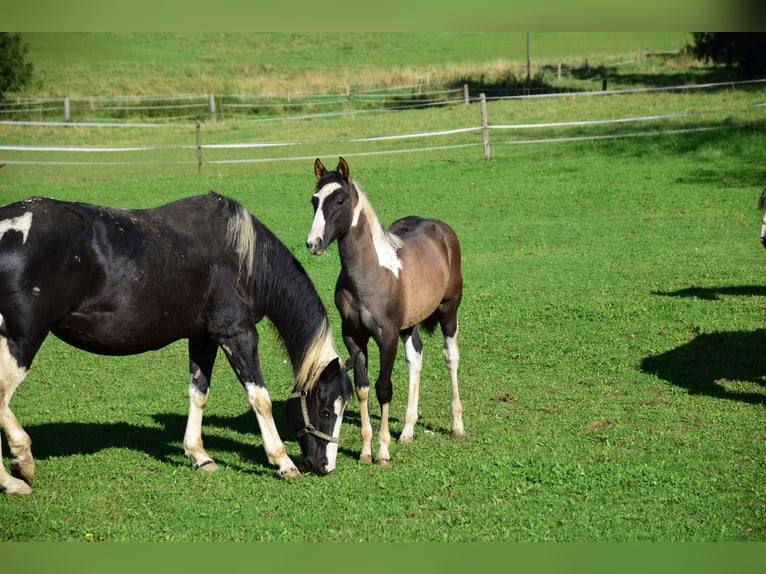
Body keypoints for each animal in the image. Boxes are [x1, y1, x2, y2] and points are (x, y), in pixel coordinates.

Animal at [0, 194, 354, 496]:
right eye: (325, 411)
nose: (325, 466)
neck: (243, 256)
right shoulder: (237, 334)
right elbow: (260, 399)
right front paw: (282, 462)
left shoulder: (203, 338)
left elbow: (199, 393)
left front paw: (199, 454)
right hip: (22, 340)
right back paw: (19, 468)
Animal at [308, 159, 464, 468]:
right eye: (314, 200)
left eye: (340, 200)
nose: (314, 243)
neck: (370, 276)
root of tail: (442, 229)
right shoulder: (354, 336)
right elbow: (363, 387)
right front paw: (366, 451)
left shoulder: (387, 335)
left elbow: (383, 388)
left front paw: (382, 452)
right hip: (410, 324)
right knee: (415, 357)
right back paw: (407, 431)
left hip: (448, 311)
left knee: (450, 356)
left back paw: (457, 426)